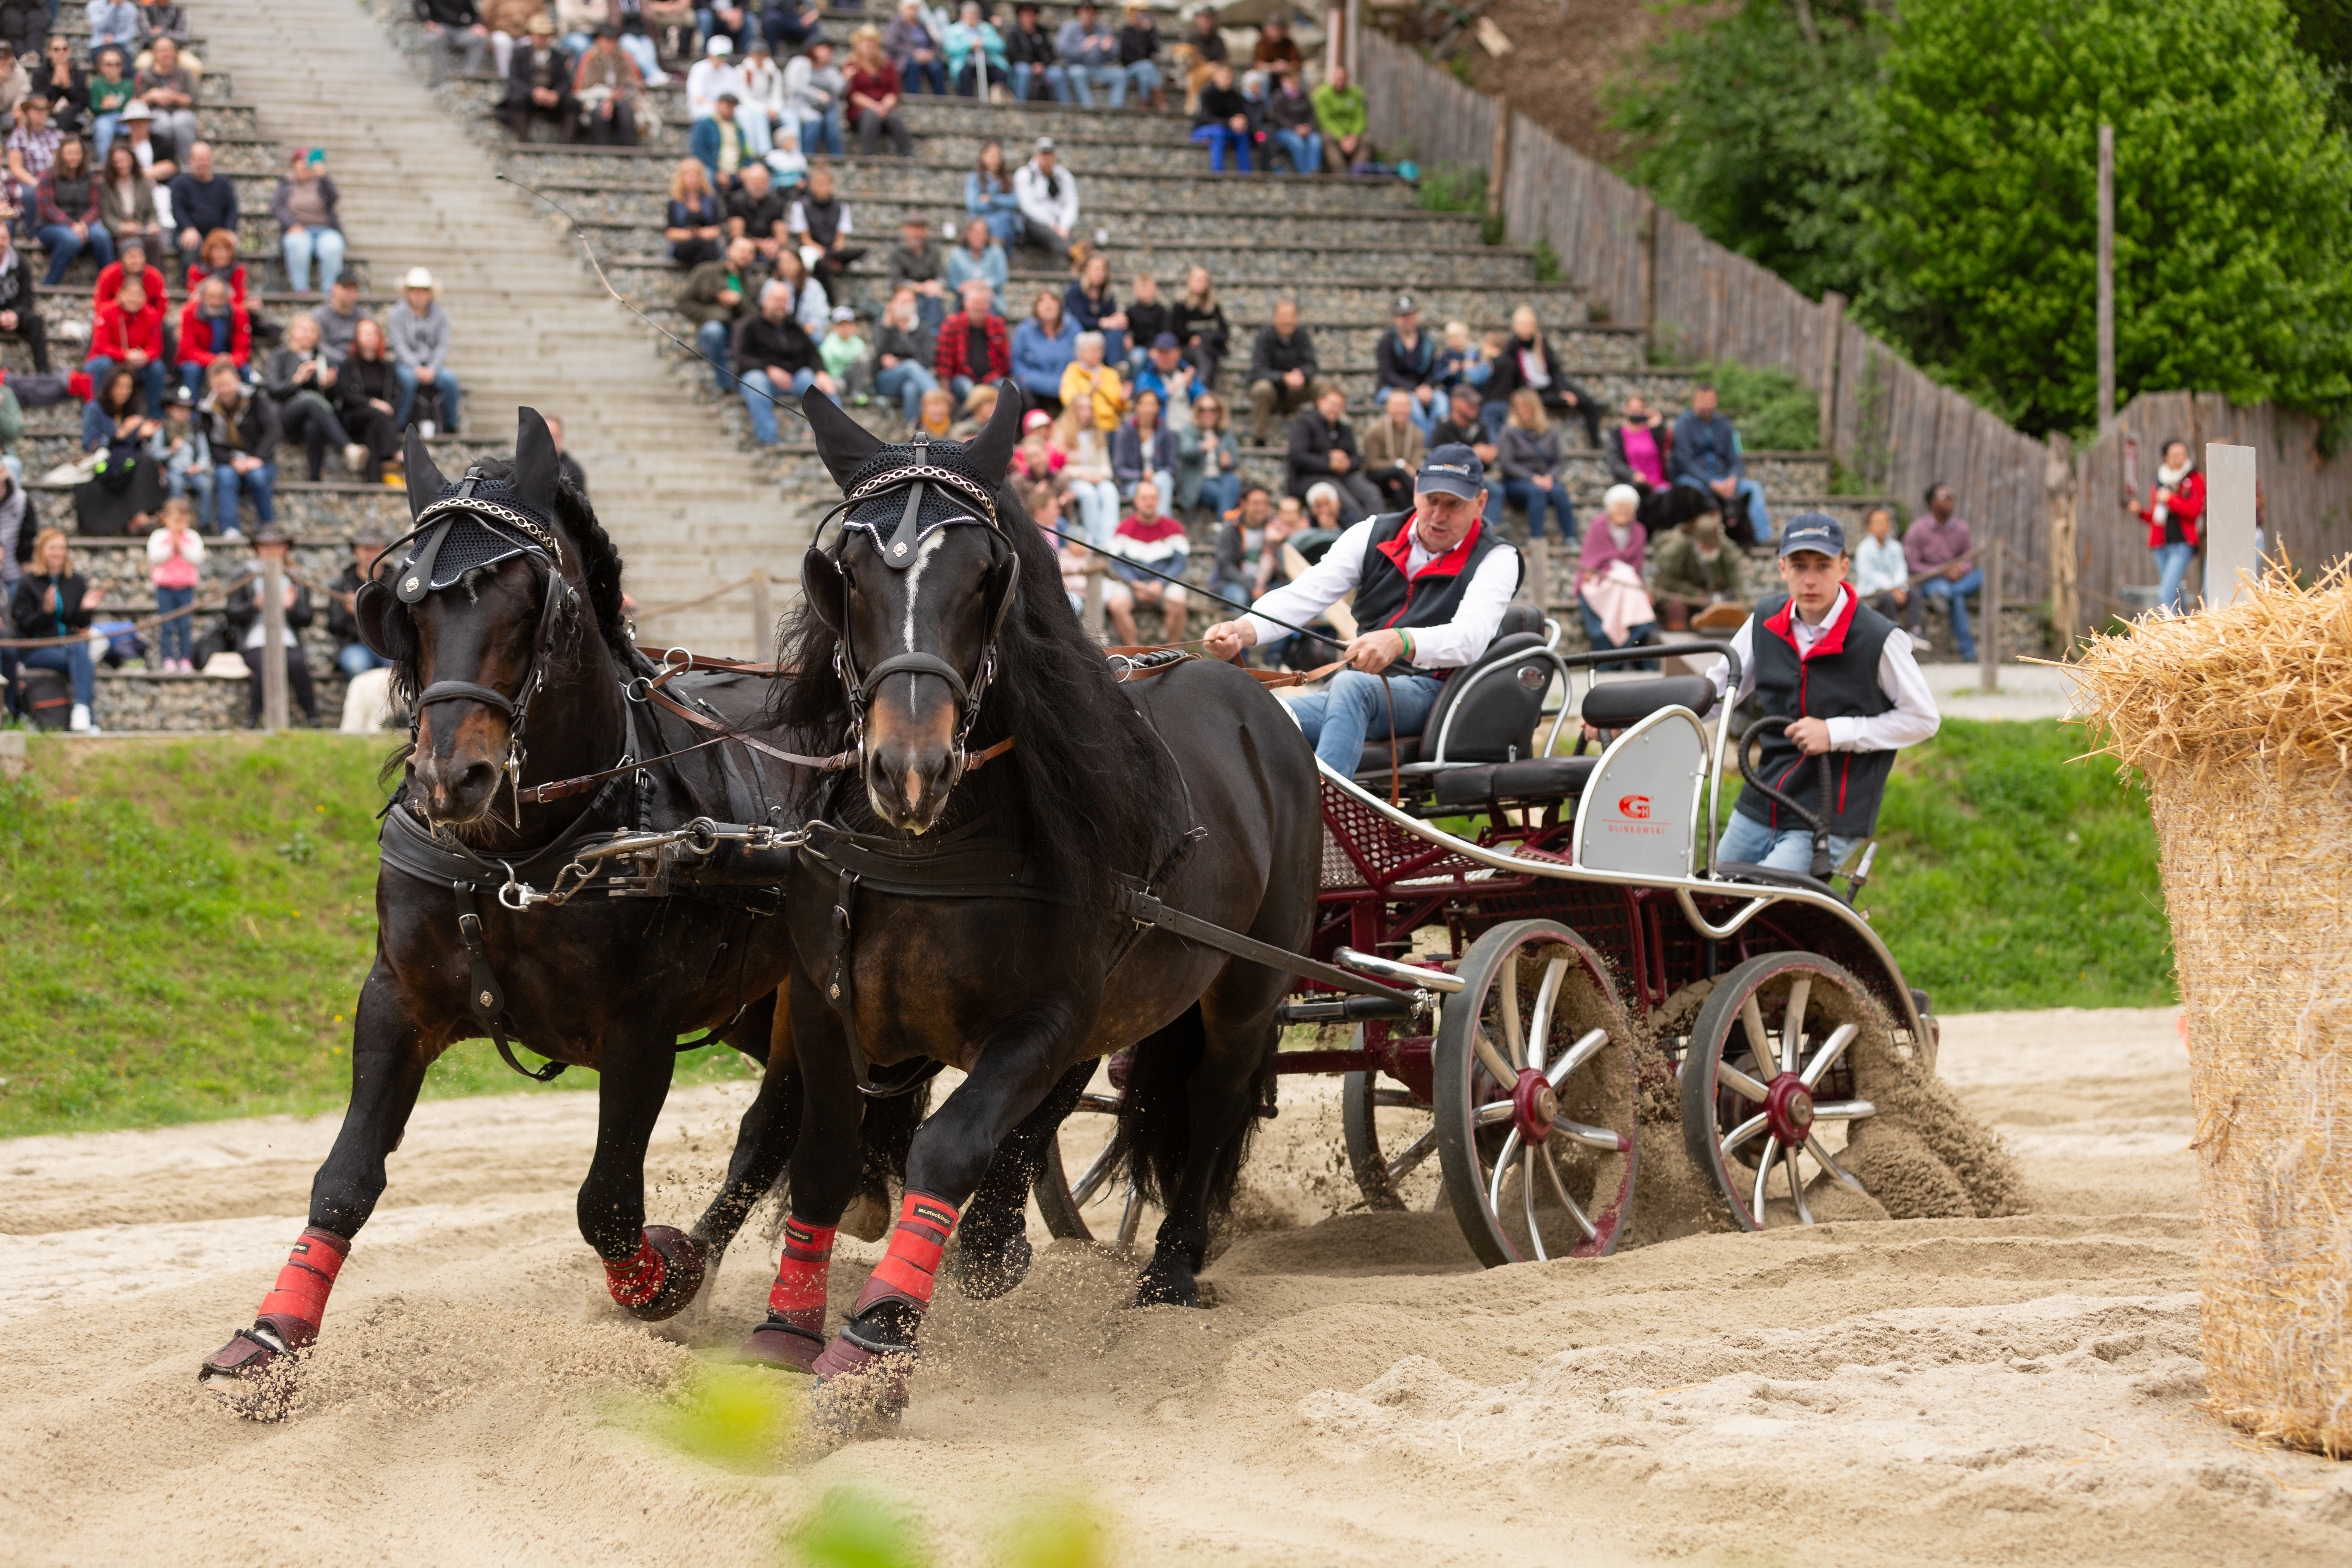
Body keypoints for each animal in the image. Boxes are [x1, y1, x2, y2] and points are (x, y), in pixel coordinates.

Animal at [195, 411, 927, 1401]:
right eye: (405, 606)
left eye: (530, 603)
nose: (452, 778)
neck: (520, 856)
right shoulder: (396, 1001)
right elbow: (345, 1177)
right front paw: (272, 1336)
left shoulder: (641, 1025)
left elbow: (607, 1203)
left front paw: (660, 1282)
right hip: (762, 1002)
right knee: (774, 1126)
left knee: (788, 1120)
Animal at [724, 385, 1336, 1420]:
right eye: (848, 571)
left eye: (985, 575)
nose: (910, 768)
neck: (925, 848)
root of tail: (1258, 698)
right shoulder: (818, 999)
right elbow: (821, 1151)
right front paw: (786, 1324)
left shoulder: (1042, 1014)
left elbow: (947, 1145)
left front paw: (875, 1341)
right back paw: (996, 1240)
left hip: (1246, 986)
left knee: (1211, 1107)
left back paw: (1168, 1270)